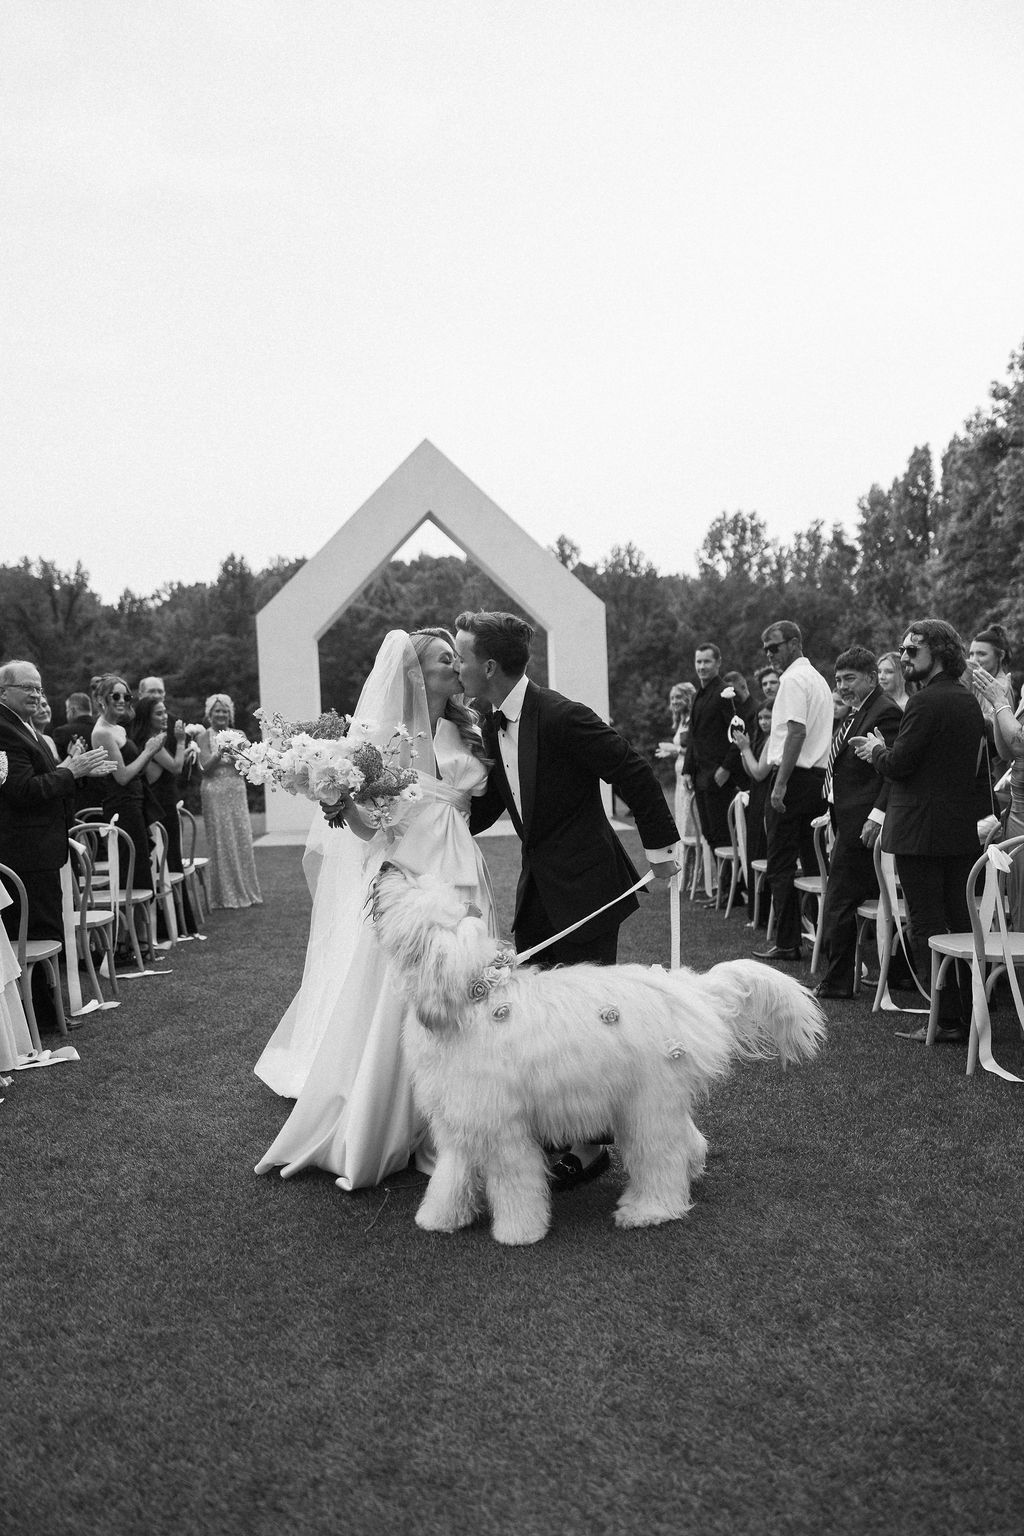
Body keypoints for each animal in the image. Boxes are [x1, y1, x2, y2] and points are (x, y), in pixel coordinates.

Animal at [372, 866, 825, 1245]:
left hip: (647, 1103)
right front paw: (439, 1218)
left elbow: (515, 1182)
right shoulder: (460, 1120)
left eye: (410, 890)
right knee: (686, 1140)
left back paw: (647, 1210)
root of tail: (688, 989)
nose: (386, 867)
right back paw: (691, 1168)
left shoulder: (503, 1127)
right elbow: (450, 1176)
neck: (472, 1000)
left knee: (660, 1157)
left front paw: (519, 1233)